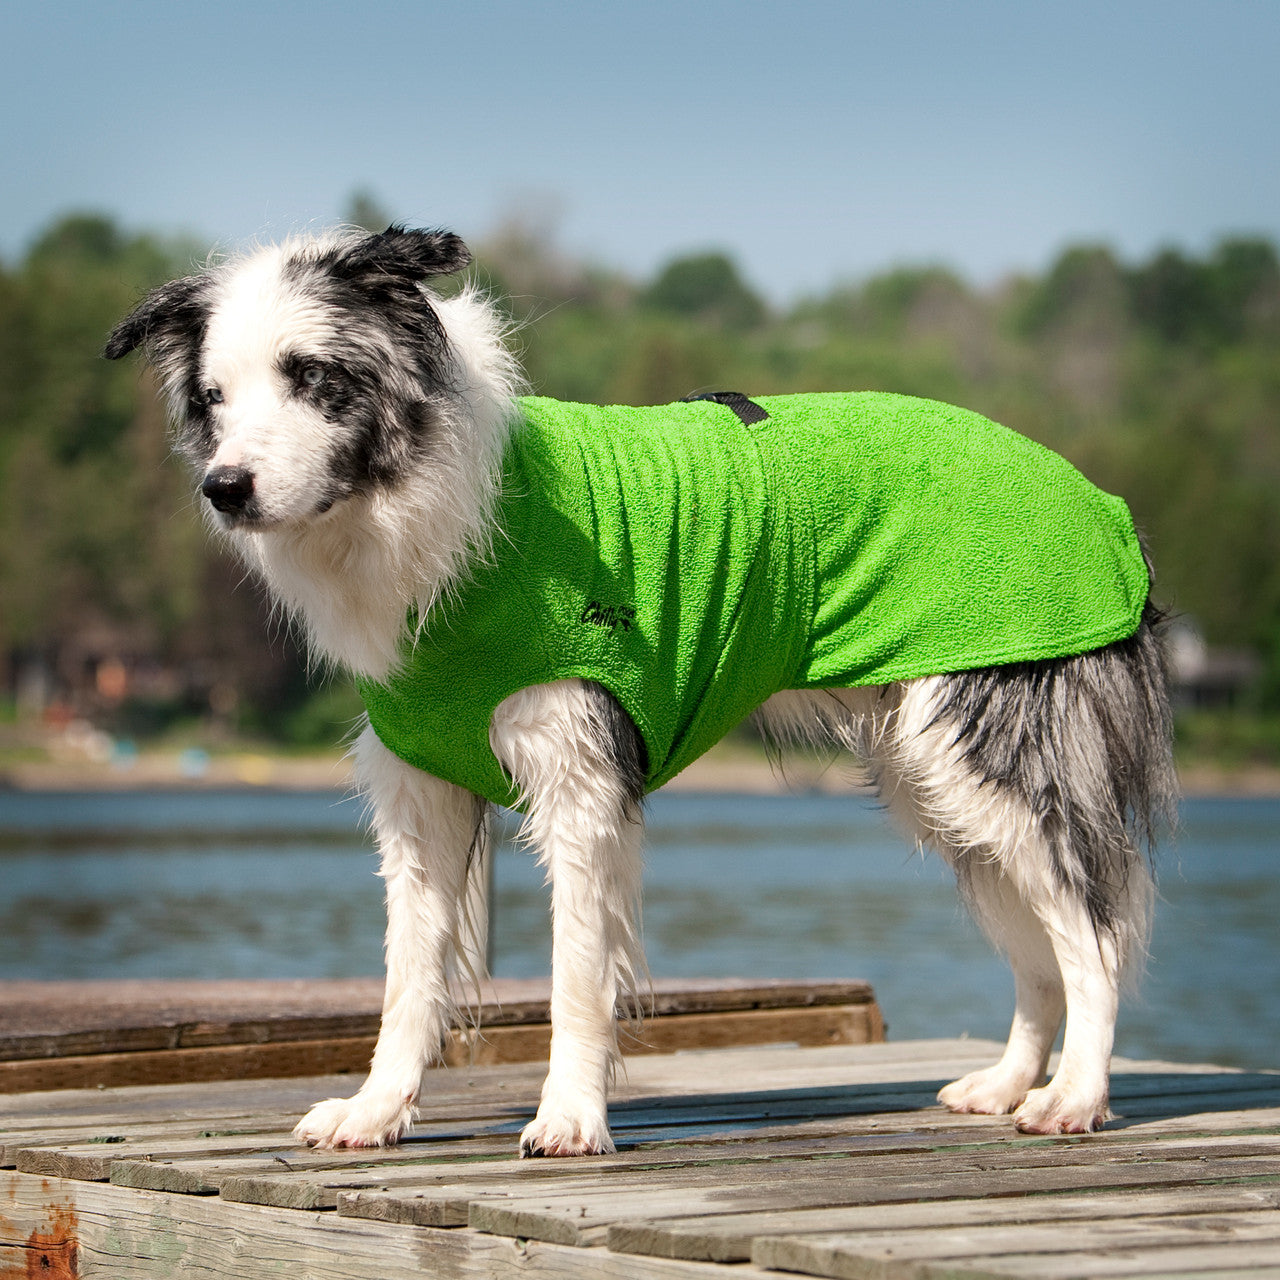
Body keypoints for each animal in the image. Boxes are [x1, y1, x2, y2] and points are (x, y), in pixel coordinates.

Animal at [104, 225, 1172, 1157]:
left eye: (312, 376)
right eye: (214, 397)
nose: (224, 488)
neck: (445, 520)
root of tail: (1104, 507)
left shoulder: (579, 779)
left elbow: (577, 973)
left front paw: (571, 1119)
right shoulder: (420, 795)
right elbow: (409, 980)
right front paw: (376, 1112)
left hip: (991, 751)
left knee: (1093, 932)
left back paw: (1073, 1096)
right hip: (935, 779)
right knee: (1039, 947)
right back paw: (1009, 1084)